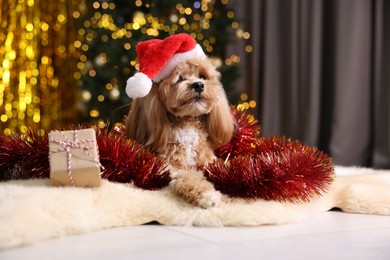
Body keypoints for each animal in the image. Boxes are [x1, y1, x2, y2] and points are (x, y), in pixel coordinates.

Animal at [125, 56, 235, 207]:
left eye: (202, 76)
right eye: (179, 78)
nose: (199, 85)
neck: (187, 123)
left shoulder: (208, 159)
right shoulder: (170, 166)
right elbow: (189, 177)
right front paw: (208, 194)